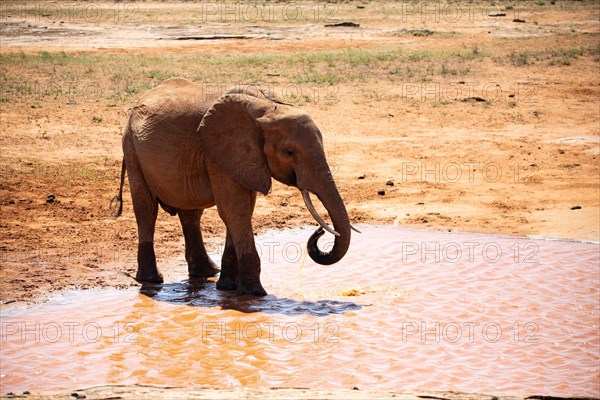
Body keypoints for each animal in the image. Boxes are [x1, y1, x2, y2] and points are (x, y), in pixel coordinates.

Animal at [110, 79, 358, 296]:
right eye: (289, 152)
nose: (319, 231)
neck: (267, 109)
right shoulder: (217, 154)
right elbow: (235, 211)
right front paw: (255, 294)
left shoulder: (245, 160)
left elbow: (240, 212)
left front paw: (228, 288)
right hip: (131, 148)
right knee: (146, 210)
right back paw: (152, 280)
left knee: (191, 214)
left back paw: (205, 273)